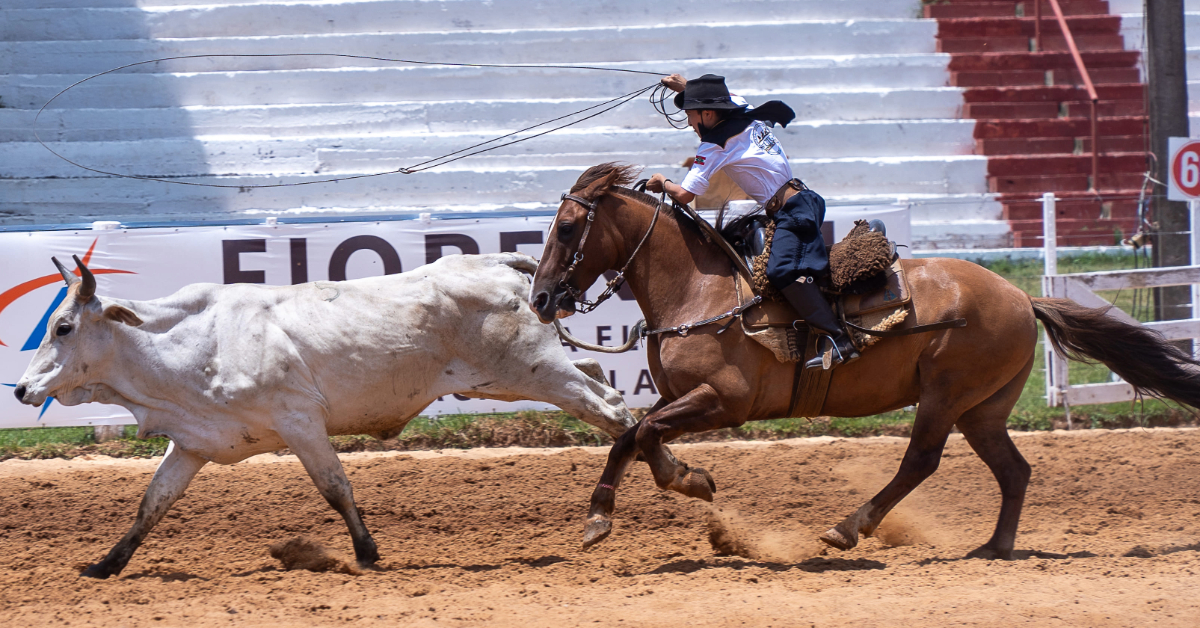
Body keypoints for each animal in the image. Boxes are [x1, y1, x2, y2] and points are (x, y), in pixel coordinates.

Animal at [532, 162, 1200, 559]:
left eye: (565, 229)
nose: (540, 299)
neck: (703, 291)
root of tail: (1020, 296)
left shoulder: (724, 402)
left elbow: (643, 434)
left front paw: (686, 483)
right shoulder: (678, 396)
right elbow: (632, 434)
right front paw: (609, 514)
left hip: (945, 397)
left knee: (922, 461)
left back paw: (850, 526)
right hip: (983, 409)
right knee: (1014, 471)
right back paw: (994, 548)